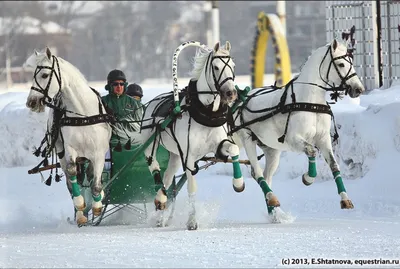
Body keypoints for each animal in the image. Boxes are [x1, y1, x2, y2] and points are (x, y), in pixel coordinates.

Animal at [25, 47, 111, 225]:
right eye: (33, 75)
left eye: (44, 75)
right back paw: (80, 213)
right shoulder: (70, 149)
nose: (31, 102)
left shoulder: (98, 153)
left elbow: (96, 184)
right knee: (72, 182)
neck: (83, 114)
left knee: (90, 177)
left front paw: (98, 204)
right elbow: (72, 173)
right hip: (62, 152)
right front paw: (80, 205)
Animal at [126, 40, 244, 229]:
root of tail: (152, 102)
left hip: (175, 155)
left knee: (167, 178)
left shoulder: (219, 144)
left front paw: (238, 183)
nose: (231, 93)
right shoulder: (189, 157)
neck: (205, 112)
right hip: (151, 142)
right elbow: (192, 188)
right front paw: (192, 221)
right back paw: (160, 196)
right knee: (153, 164)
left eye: (232, 65)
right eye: (216, 67)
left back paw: (160, 211)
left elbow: (233, 149)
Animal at [231, 38, 366, 214]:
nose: (359, 89)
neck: (310, 101)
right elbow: (311, 151)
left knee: (265, 176)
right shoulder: (293, 139)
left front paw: (345, 199)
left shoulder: (323, 139)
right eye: (341, 64)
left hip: (271, 149)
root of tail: (243, 99)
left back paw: (274, 210)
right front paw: (308, 178)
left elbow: (334, 165)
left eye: (351, 61)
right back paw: (252, 190)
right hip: (247, 138)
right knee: (257, 171)